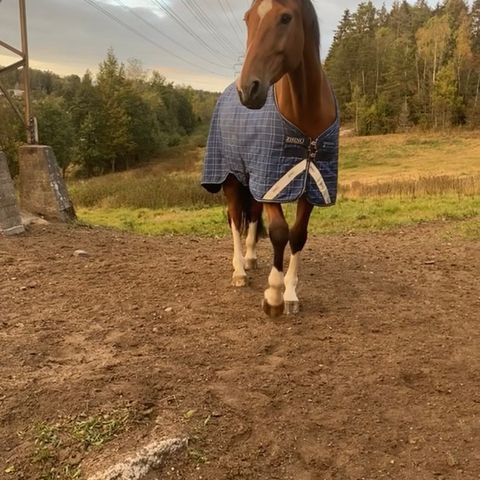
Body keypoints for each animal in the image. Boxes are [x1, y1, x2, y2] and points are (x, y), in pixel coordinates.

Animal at [201, 0, 340, 316]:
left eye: (285, 18)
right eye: (247, 18)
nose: (248, 89)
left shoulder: (310, 184)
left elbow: (298, 234)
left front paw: (290, 293)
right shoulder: (272, 180)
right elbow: (279, 232)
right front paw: (274, 295)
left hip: (250, 178)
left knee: (251, 214)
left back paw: (251, 258)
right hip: (229, 176)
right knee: (233, 218)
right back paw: (240, 270)